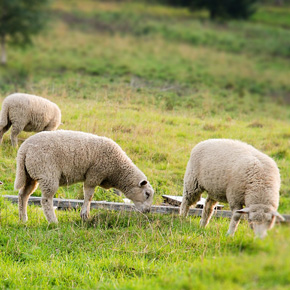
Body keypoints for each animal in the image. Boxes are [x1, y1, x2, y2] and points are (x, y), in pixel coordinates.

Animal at [14, 130, 154, 223]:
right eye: (147, 194)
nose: (148, 211)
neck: (117, 170)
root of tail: (24, 149)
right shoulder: (94, 175)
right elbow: (89, 196)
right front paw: (84, 215)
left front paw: (85, 214)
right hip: (47, 174)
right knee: (45, 200)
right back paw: (53, 221)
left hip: (30, 175)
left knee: (23, 195)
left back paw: (23, 219)